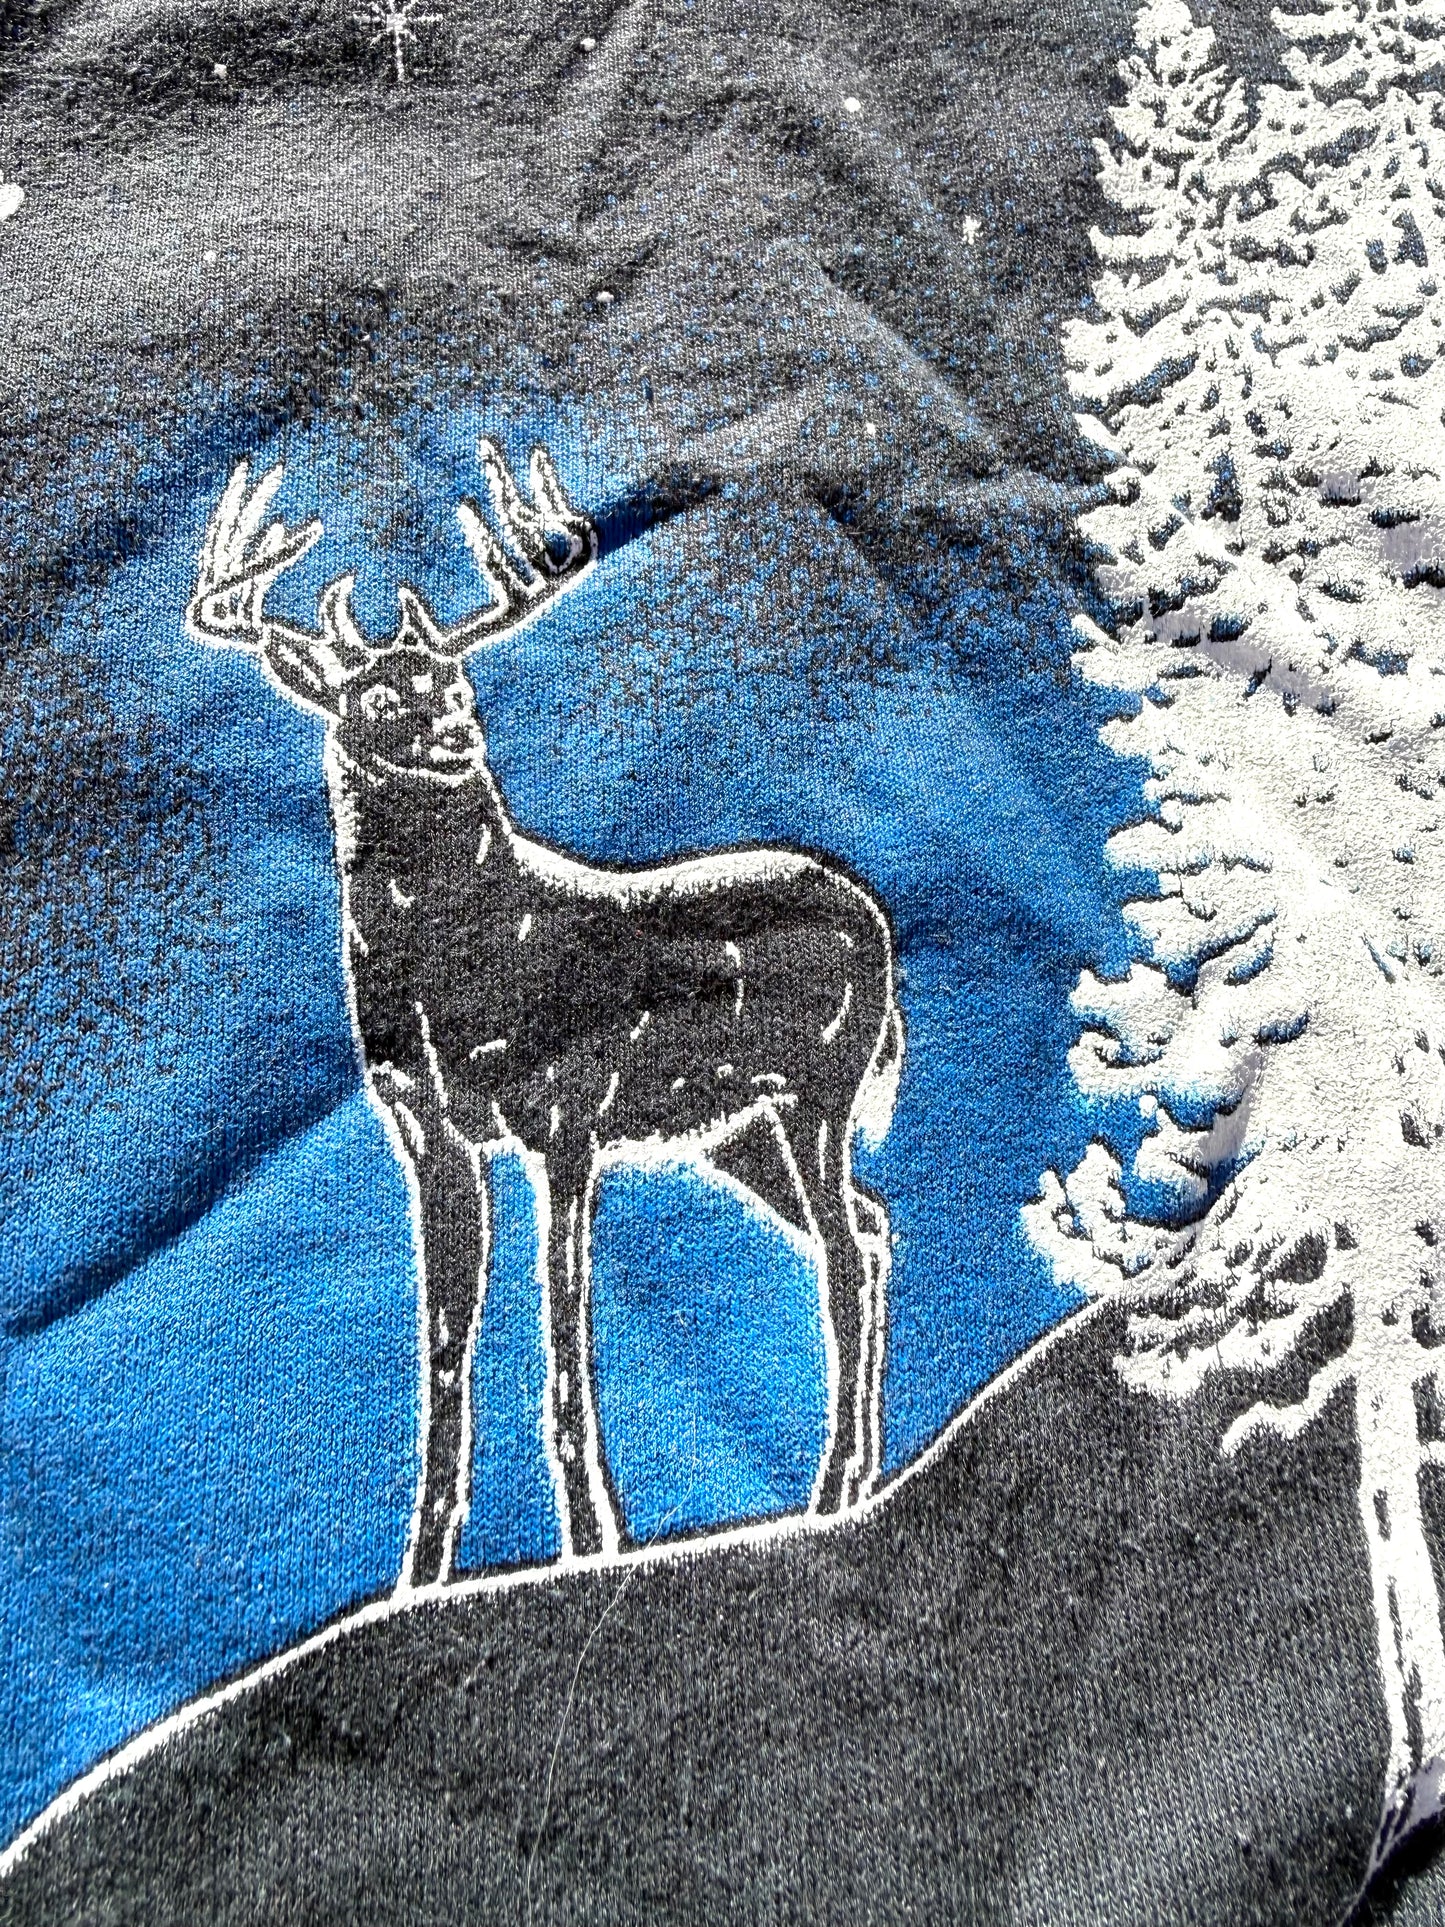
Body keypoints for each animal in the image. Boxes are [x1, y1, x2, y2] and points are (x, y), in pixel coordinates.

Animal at [185, 439, 905, 1581]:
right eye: (374, 702)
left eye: (456, 678)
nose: (456, 732)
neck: (470, 968)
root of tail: (873, 916)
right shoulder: (428, 1133)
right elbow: (444, 1349)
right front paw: (420, 1573)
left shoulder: (565, 1111)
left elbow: (563, 1333)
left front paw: (592, 1545)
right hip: (736, 1131)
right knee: (871, 1233)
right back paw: (849, 1483)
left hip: (819, 1087)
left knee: (841, 1255)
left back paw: (831, 1494)